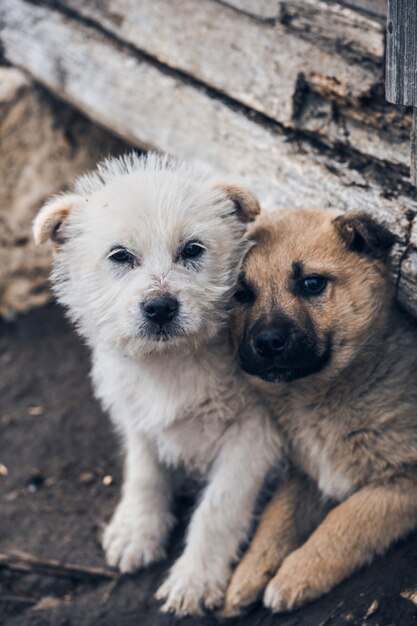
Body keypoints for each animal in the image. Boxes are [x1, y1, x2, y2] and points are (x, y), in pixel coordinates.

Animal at [33, 154, 282, 612]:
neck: (169, 364)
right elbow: (144, 470)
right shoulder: (136, 413)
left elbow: (220, 506)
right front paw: (137, 529)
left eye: (193, 250)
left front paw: (195, 578)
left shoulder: (255, 432)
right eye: (119, 256)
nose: (160, 307)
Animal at [224, 210, 417, 616]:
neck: (317, 400)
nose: (267, 342)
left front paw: (294, 576)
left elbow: (345, 520)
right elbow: (275, 518)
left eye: (312, 284)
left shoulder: (402, 478)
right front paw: (247, 574)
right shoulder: (305, 473)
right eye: (241, 293)